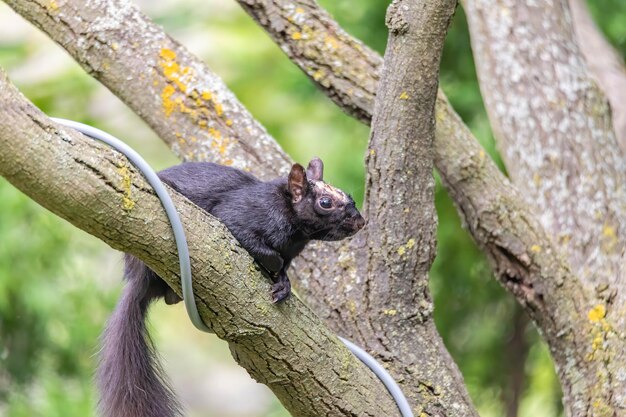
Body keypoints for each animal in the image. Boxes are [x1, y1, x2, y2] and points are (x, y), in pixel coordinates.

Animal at [95, 157, 364, 416]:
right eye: (325, 202)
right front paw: (273, 268)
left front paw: (284, 284)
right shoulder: (238, 216)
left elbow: (284, 267)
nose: (361, 221)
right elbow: (265, 251)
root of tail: (137, 281)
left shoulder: (291, 252)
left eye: (350, 197)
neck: (296, 231)